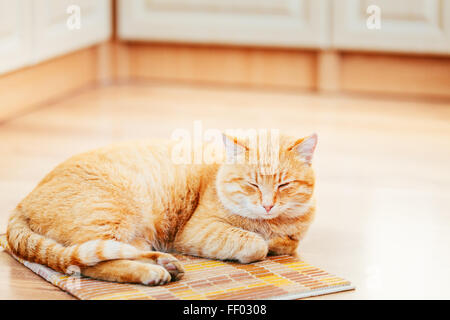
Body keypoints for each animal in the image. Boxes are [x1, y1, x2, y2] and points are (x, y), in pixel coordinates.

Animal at [7, 132, 316, 284]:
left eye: (284, 184)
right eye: (252, 184)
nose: (268, 204)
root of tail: (23, 200)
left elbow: (286, 244)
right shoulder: (197, 231)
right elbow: (256, 245)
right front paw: (263, 242)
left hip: (134, 235)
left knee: (116, 252)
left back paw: (166, 264)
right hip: (113, 215)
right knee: (87, 263)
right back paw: (153, 273)